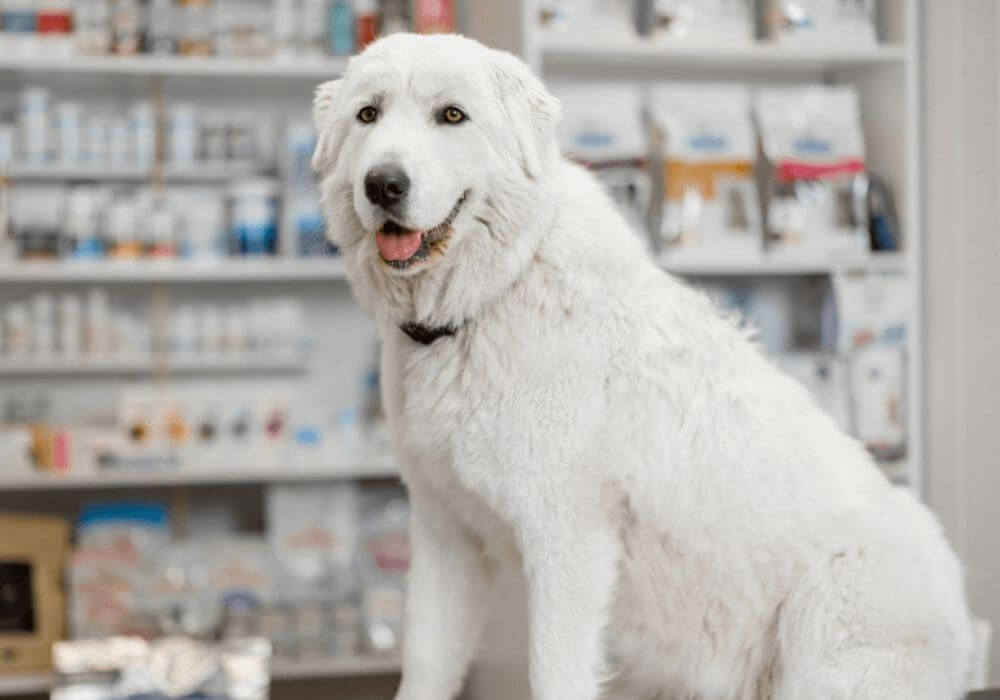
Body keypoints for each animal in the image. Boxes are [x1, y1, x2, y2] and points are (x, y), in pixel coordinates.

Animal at [316, 32, 972, 700]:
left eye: (451, 115)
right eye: (368, 114)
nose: (384, 184)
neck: (493, 296)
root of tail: (966, 630)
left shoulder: (565, 543)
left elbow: (553, 673)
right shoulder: (446, 536)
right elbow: (425, 663)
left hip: (824, 630)